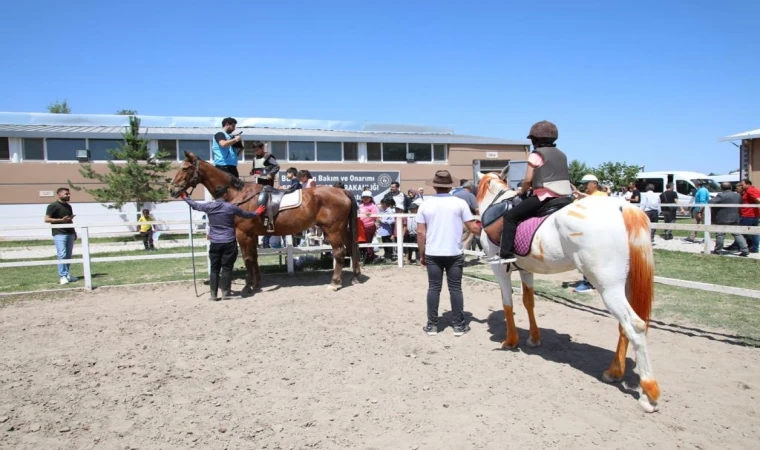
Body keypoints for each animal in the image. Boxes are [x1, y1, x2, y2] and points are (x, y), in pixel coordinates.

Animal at [171, 151, 360, 292]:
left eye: (185, 168)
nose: (172, 189)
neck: (240, 195)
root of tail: (341, 191)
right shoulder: (252, 235)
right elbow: (254, 257)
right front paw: (256, 282)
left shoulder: (243, 234)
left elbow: (247, 258)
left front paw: (248, 285)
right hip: (343, 229)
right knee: (352, 248)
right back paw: (356, 276)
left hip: (333, 230)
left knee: (340, 253)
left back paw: (334, 283)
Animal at [476, 171, 660, 412]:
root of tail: (621, 207)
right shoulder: (526, 270)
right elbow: (528, 302)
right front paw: (534, 339)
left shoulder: (499, 269)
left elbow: (508, 303)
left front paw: (510, 341)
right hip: (624, 285)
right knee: (625, 327)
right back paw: (614, 372)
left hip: (608, 286)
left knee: (635, 325)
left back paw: (648, 393)